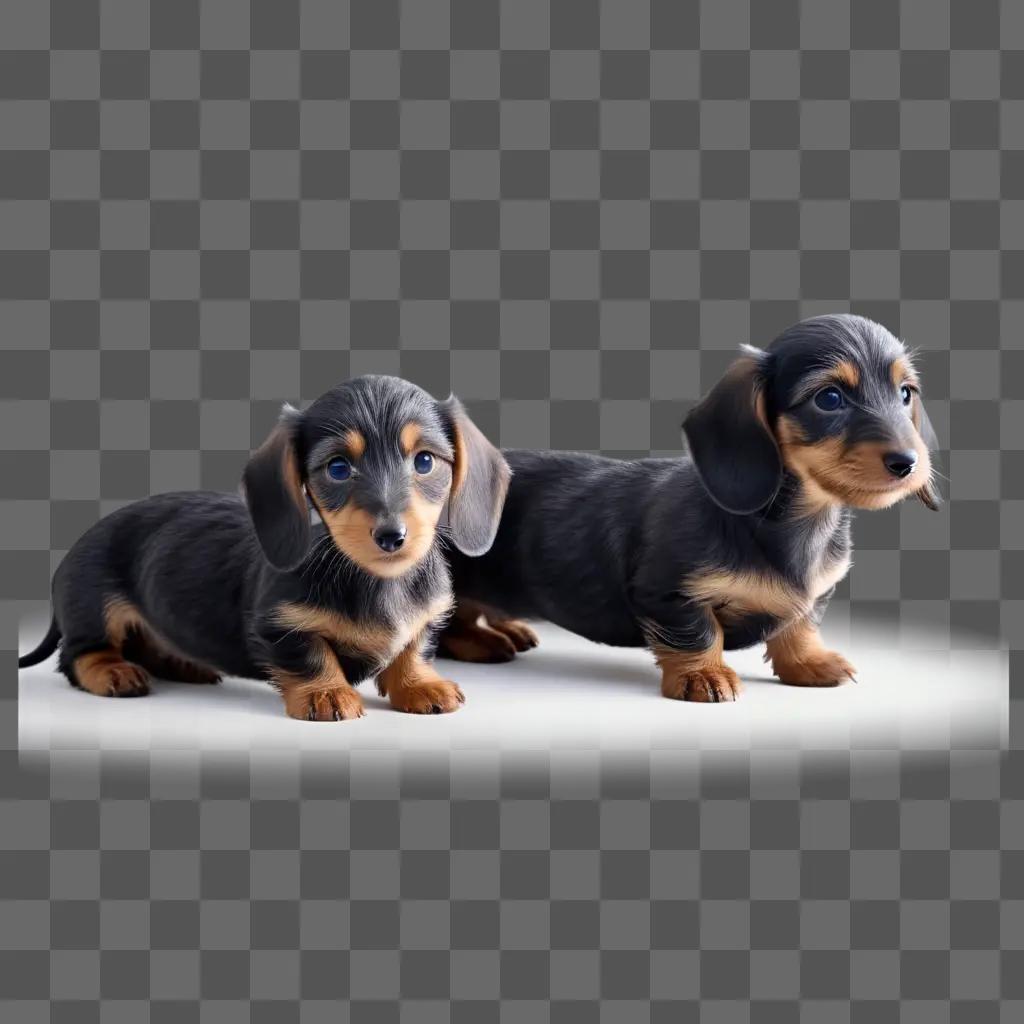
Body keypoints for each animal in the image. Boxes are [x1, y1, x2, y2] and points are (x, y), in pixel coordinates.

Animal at [18, 376, 509, 720]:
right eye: (337, 468)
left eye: (424, 461)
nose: (392, 536)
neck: (377, 581)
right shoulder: (277, 625)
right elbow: (310, 653)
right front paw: (326, 693)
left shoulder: (428, 618)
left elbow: (414, 646)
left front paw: (420, 684)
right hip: (95, 608)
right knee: (78, 655)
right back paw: (113, 671)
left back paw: (185, 665)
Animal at [436, 315, 937, 704]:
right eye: (829, 398)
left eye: (905, 393)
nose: (908, 463)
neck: (793, 523)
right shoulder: (669, 594)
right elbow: (699, 633)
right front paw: (704, 675)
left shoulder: (816, 594)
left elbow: (800, 626)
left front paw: (810, 663)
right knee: (450, 623)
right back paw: (483, 640)